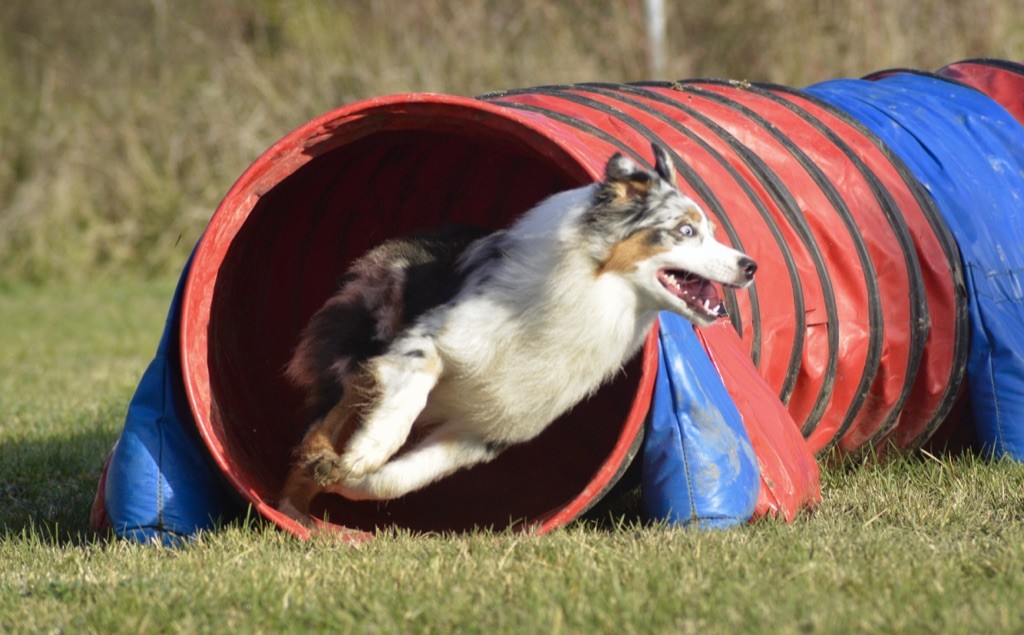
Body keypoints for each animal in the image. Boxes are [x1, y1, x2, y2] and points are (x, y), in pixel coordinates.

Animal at [276, 143, 757, 524]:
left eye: (710, 231)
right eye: (685, 231)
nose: (750, 265)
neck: (596, 292)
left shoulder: (488, 429)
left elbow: (402, 479)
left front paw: (353, 481)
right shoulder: (427, 343)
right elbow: (402, 407)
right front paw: (365, 452)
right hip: (368, 341)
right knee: (327, 414)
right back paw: (298, 498)